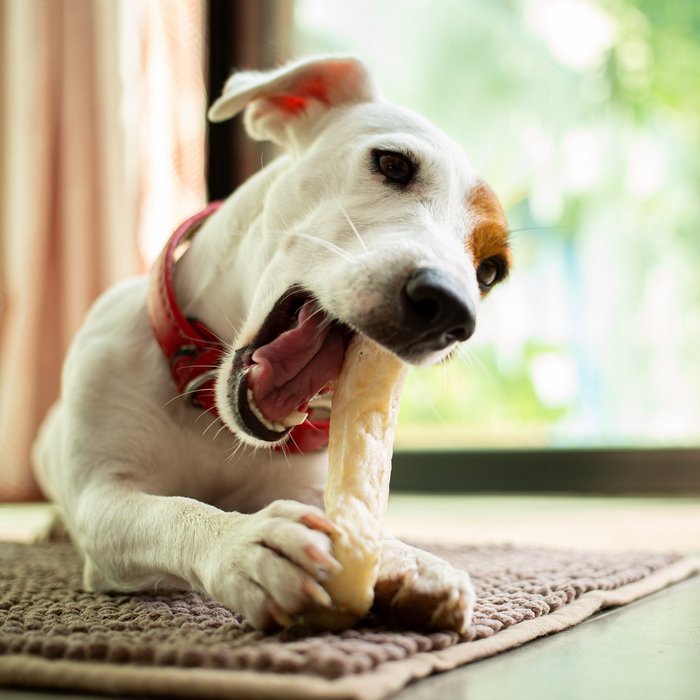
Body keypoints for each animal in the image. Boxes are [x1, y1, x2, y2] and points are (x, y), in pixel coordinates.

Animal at [32, 54, 512, 632]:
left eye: (490, 272)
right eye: (394, 164)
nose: (451, 310)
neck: (210, 409)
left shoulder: (307, 487)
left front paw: (409, 558)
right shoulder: (104, 498)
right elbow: (171, 511)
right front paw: (246, 544)